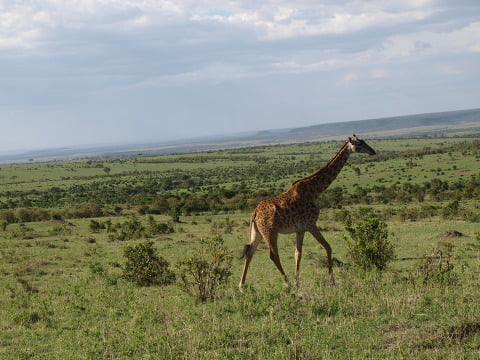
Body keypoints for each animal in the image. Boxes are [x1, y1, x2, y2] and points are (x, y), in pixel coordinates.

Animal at [239, 135, 376, 290]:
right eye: (359, 144)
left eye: (364, 141)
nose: (373, 151)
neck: (315, 191)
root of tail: (255, 213)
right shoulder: (311, 224)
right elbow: (328, 247)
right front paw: (332, 281)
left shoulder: (301, 229)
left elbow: (298, 253)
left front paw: (298, 283)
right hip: (270, 231)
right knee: (273, 255)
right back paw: (287, 283)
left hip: (257, 232)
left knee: (250, 253)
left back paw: (241, 286)